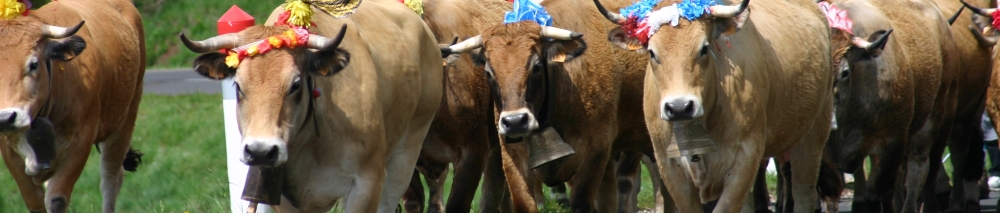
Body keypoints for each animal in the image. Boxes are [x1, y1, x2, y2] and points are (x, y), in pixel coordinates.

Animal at [0, 0, 146, 212]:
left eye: (34, 64)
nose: (6, 118)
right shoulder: (9, 152)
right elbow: (34, 201)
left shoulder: (81, 141)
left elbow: (56, 198)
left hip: (126, 117)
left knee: (111, 178)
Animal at [440, 0, 664, 211]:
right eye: (488, 72)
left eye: (537, 67)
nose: (515, 121)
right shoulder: (512, 154)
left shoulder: (596, 150)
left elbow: (582, 202)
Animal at [592, 0, 836, 211]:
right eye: (652, 52)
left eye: (704, 49)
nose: (680, 107)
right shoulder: (668, 164)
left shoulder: (746, 158)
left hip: (813, 135)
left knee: (804, 192)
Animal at [816, 0, 964, 211]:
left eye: (844, 72)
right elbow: (829, 194)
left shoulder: (893, 140)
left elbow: (885, 189)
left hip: (940, 120)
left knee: (923, 171)